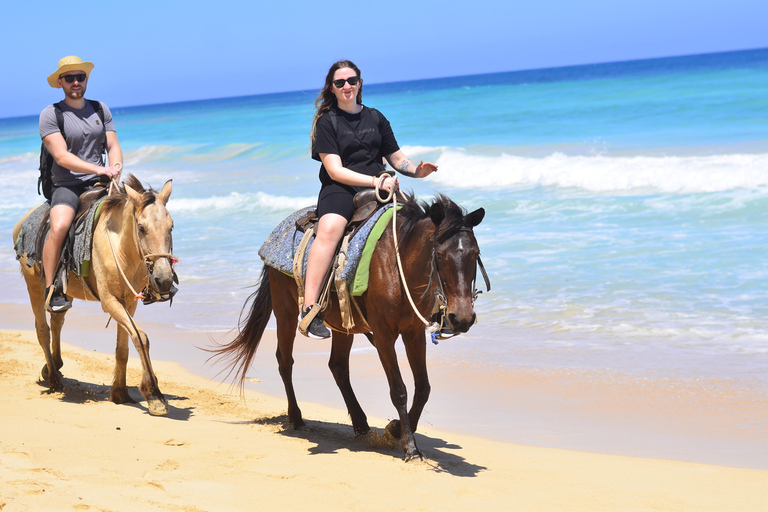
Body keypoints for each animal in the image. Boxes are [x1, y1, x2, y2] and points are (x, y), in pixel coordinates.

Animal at [12, 176, 174, 416]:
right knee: (43, 330)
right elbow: (141, 338)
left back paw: (54, 367)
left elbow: (124, 347)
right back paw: (54, 380)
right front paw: (154, 395)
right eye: (141, 228)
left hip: (63, 291)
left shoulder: (128, 302)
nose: (164, 280)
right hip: (34, 285)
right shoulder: (110, 301)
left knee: (57, 321)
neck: (120, 248)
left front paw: (120, 393)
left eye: (171, 226)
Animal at [212, 194, 486, 458]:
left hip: (343, 326)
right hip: (285, 311)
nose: (462, 318)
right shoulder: (384, 335)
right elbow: (399, 389)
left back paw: (360, 423)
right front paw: (410, 446)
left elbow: (423, 388)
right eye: (439, 255)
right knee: (285, 361)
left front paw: (396, 429)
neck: (398, 265)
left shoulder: (413, 333)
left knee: (338, 366)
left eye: (475, 254)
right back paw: (297, 418)